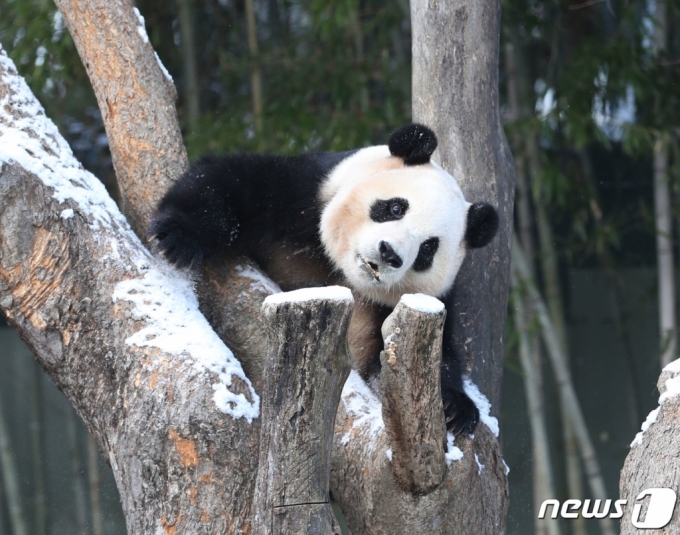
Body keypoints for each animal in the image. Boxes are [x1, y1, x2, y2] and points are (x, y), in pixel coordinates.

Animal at [150, 123, 500, 438]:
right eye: (394, 207)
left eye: (428, 248)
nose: (389, 253)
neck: (341, 274)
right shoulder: (307, 195)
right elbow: (232, 181)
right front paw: (177, 237)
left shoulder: (413, 305)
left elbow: (416, 360)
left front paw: (455, 408)